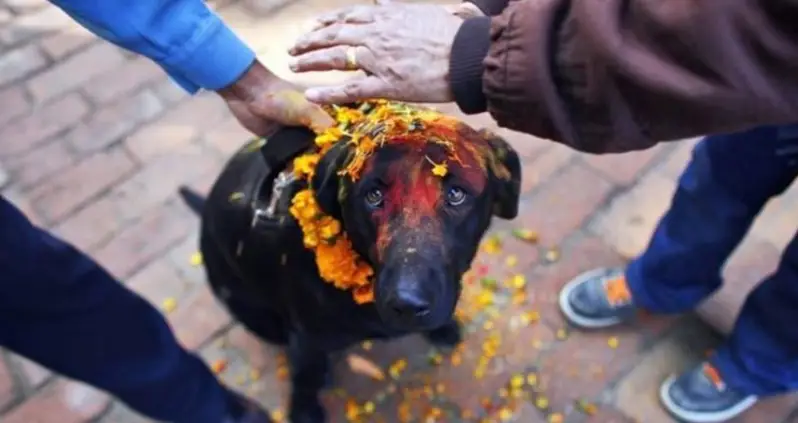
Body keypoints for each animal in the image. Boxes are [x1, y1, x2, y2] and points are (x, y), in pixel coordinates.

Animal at [178, 103, 520, 423]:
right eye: (373, 195)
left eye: (456, 193)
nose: (407, 305)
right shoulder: (307, 341)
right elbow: (305, 378)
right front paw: (303, 411)